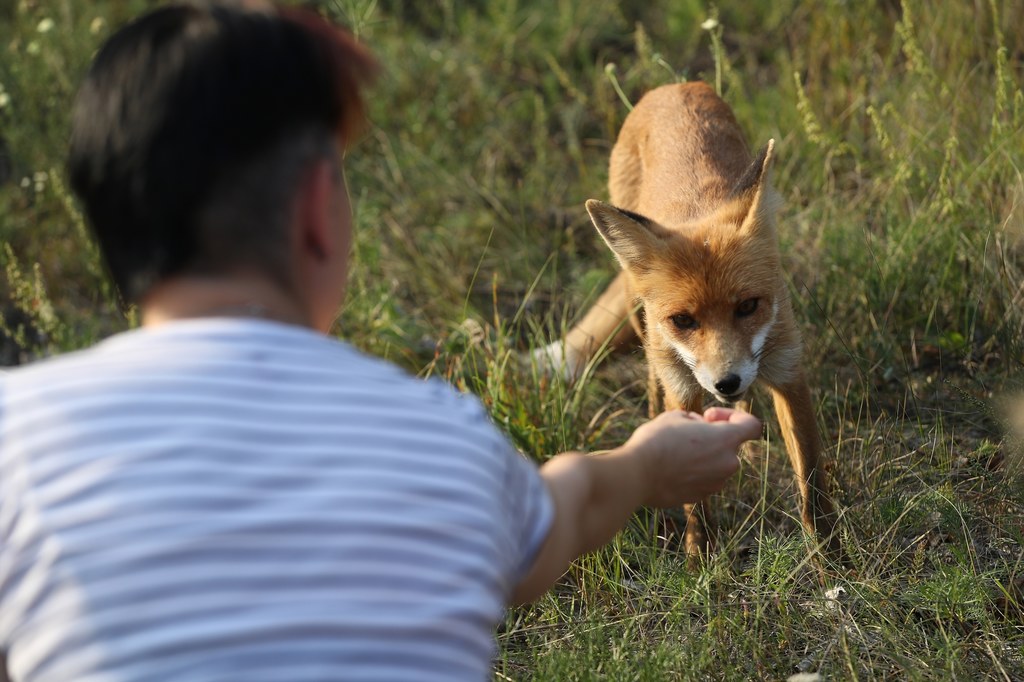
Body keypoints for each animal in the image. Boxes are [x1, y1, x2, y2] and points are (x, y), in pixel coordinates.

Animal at [536, 80, 839, 557]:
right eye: (683, 320)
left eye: (748, 306)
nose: (726, 382)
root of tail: (673, 86)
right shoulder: (684, 384)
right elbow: (695, 499)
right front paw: (702, 559)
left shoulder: (788, 370)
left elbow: (811, 480)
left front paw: (829, 554)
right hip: (640, 312)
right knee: (651, 375)